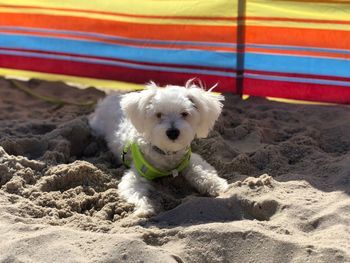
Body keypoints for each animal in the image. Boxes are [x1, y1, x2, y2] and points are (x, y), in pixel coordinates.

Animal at [89, 81, 228, 219]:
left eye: (184, 114)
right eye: (158, 114)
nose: (173, 132)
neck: (166, 153)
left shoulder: (189, 158)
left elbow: (202, 170)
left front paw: (217, 184)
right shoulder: (135, 174)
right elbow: (135, 192)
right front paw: (145, 208)